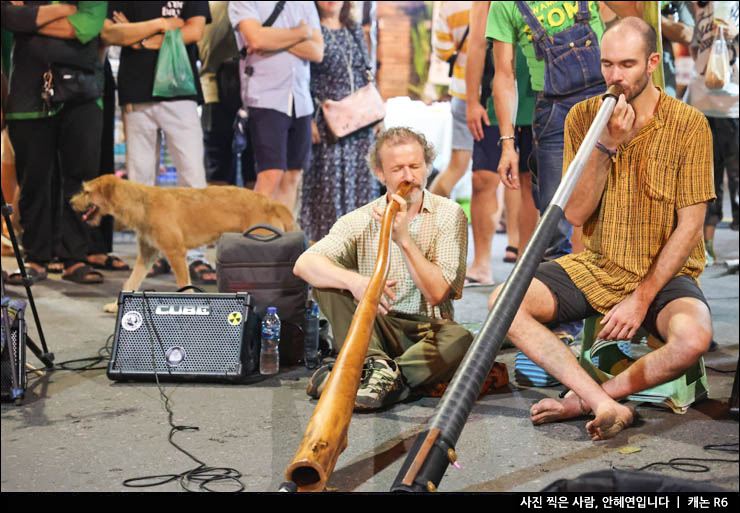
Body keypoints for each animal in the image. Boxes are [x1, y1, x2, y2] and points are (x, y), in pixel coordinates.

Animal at [71, 174, 296, 312]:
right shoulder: (147, 254)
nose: (71, 202)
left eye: (87, 192)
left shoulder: (175, 252)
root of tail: (273, 203)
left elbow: (184, 284)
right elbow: (131, 281)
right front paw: (115, 306)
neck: (142, 203)